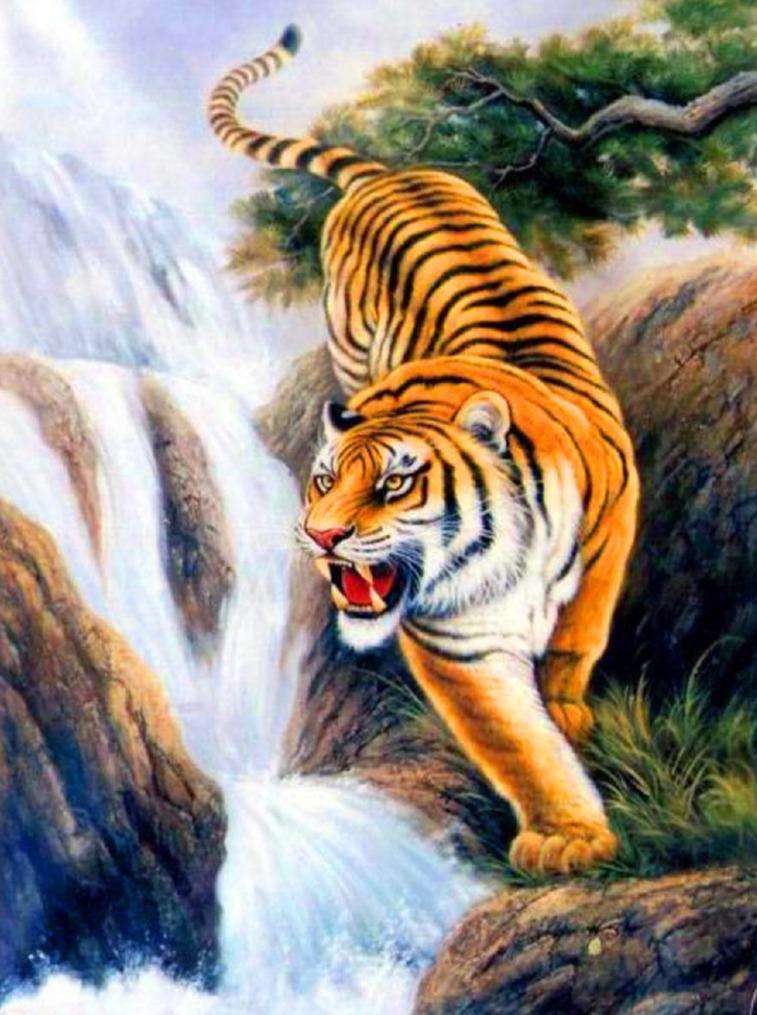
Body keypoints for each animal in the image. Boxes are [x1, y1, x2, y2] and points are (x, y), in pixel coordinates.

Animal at [209, 25, 639, 874]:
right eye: (322, 482)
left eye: (394, 484)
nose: (320, 537)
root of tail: (390, 171)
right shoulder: (455, 641)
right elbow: (513, 739)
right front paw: (567, 833)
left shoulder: (615, 526)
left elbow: (579, 636)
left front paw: (566, 710)